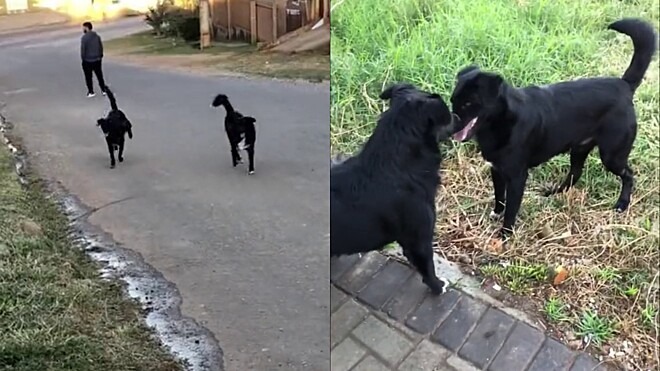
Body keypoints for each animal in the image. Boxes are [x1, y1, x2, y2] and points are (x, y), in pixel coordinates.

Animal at [448, 18, 656, 238]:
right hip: (580, 148)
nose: (450, 123)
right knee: (575, 174)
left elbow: (511, 209)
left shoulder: (517, 177)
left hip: (612, 155)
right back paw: (555, 192)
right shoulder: (496, 169)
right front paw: (496, 213)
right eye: (453, 101)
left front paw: (505, 234)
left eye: (468, 104)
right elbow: (499, 196)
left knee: (628, 175)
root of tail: (624, 85)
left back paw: (622, 204)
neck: (501, 122)